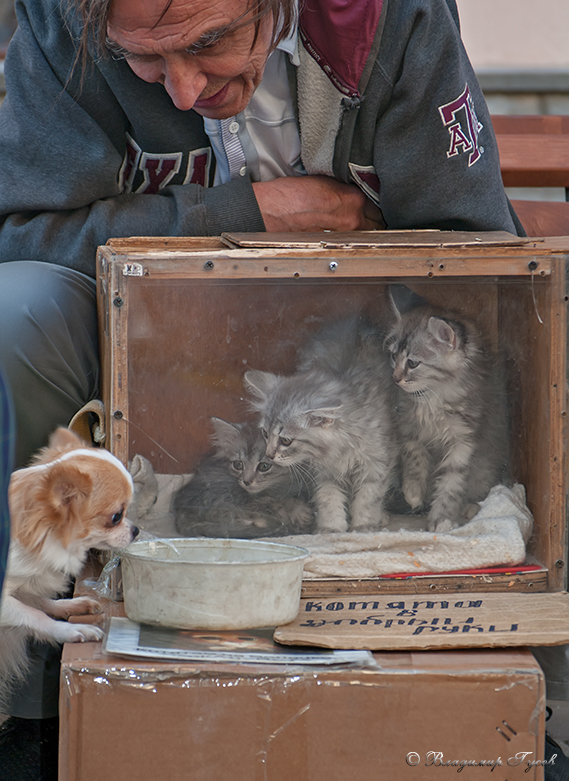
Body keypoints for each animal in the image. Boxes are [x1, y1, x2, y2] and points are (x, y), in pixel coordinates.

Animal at [0, 430, 138, 704]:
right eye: (116, 517)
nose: (136, 530)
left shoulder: (23, 584)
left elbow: (38, 601)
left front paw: (70, 606)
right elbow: (33, 613)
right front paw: (68, 630)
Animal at [243, 316, 394, 532]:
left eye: (286, 441)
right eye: (265, 433)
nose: (269, 455)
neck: (341, 450)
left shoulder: (376, 462)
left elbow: (368, 498)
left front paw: (363, 525)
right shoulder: (324, 473)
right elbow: (328, 498)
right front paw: (331, 527)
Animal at [384, 284, 508, 532]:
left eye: (412, 363)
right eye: (393, 356)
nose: (396, 379)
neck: (434, 398)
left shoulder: (464, 439)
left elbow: (452, 482)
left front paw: (443, 520)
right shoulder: (407, 427)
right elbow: (414, 456)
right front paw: (413, 491)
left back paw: (470, 508)